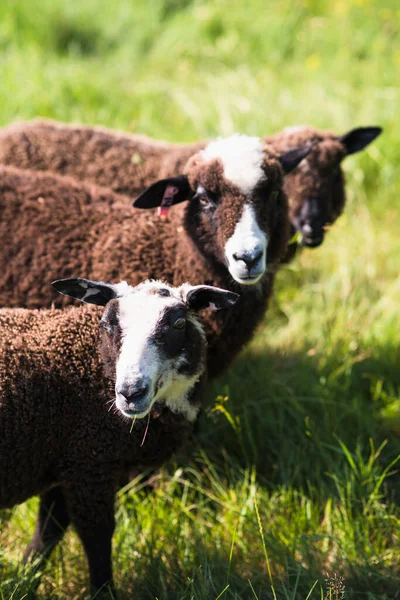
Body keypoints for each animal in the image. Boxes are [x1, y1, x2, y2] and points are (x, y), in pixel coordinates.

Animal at [0, 276, 238, 596]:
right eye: (106, 323)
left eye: (178, 323)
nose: (131, 392)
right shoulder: (89, 462)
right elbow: (97, 535)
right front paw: (104, 592)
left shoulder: (68, 461)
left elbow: (48, 531)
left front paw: (25, 581)